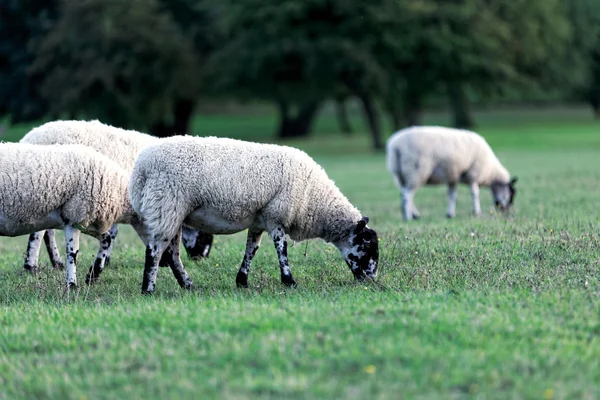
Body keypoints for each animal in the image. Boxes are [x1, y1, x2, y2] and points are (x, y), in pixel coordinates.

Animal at [0, 144, 149, 288]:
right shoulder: (74, 216)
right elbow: (72, 253)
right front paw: (72, 284)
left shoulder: (85, 221)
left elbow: (106, 239)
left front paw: (92, 275)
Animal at [20, 119, 213, 272]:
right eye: (204, 235)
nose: (200, 259)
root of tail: (29, 137)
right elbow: (113, 232)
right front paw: (105, 261)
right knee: (39, 233)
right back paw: (31, 266)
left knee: (48, 231)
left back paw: (56, 262)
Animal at [130, 137, 380, 294]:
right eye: (367, 245)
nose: (371, 280)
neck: (314, 197)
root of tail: (140, 170)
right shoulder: (276, 215)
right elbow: (282, 250)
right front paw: (289, 281)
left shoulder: (259, 220)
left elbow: (252, 249)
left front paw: (242, 281)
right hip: (166, 205)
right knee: (154, 251)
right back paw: (148, 290)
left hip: (172, 213)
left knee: (172, 254)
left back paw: (188, 286)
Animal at [386, 125, 516, 220]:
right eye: (511, 193)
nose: (507, 211)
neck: (490, 172)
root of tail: (395, 147)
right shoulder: (473, 174)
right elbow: (474, 194)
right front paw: (476, 212)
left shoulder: (453, 177)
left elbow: (452, 195)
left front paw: (450, 214)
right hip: (415, 170)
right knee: (407, 195)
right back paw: (407, 217)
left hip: (400, 174)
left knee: (404, 193)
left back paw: (414, 215)